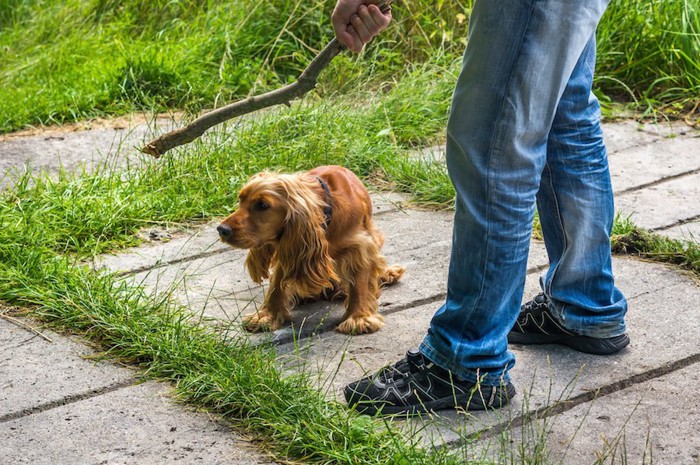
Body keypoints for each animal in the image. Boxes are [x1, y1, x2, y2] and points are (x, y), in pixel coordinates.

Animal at [217, 166, 404, 334]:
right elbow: (276, 284)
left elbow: (360, 283)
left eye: (262, 205)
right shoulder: (290, 246)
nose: (222, 229)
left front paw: (359, 318)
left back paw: (386, 274)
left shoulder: (360, 245)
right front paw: (266, 315)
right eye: (240, 200)